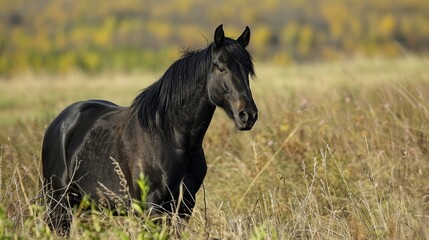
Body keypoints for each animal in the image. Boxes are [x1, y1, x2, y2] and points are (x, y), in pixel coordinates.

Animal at [41, 24, 258, 234]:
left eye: (248, 70)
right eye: (221, 68)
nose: (248, 115)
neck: (173, 138)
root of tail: (60, 123)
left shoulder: (184, 207)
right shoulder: (152, 208)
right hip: (59, 204)